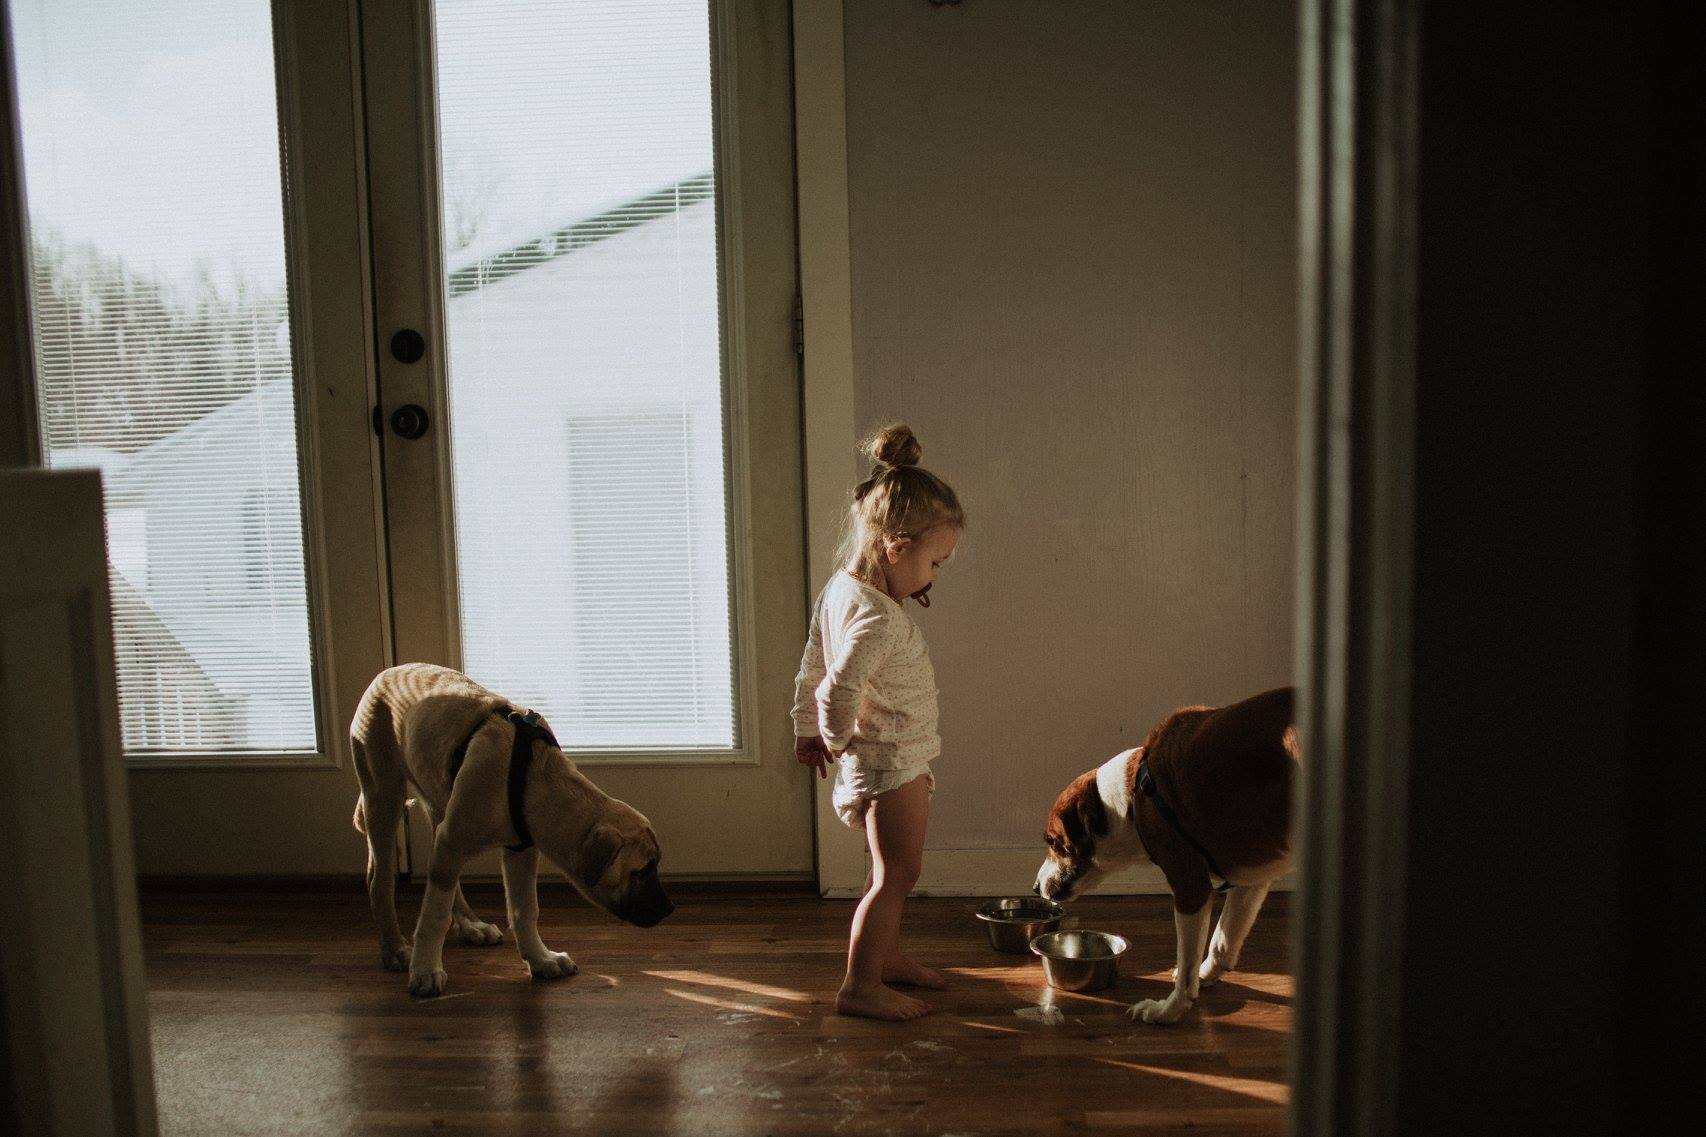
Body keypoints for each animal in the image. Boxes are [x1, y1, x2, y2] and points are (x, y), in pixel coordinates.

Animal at [351, 658, 672, 997]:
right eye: (641, 872)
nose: (668, 910)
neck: (535, 778)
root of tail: (387, 672)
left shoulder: (521, 850)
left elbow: (525, 909)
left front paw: (541, 959)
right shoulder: (454, 841)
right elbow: (435, 914)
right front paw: (425, 970)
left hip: (439, 802)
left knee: (446, 878)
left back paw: (471, 926)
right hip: (382, 794)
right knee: (380, 879)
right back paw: (395, 949)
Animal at [1030, 686, 1296, 1024]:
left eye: (1053, 841)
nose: (1035, 888)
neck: (1132, 798)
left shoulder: (1190, 886)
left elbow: (1187, 964)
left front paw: (1170, 1009)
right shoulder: (1252, 875)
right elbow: (1222, 940)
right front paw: (1207, 975)